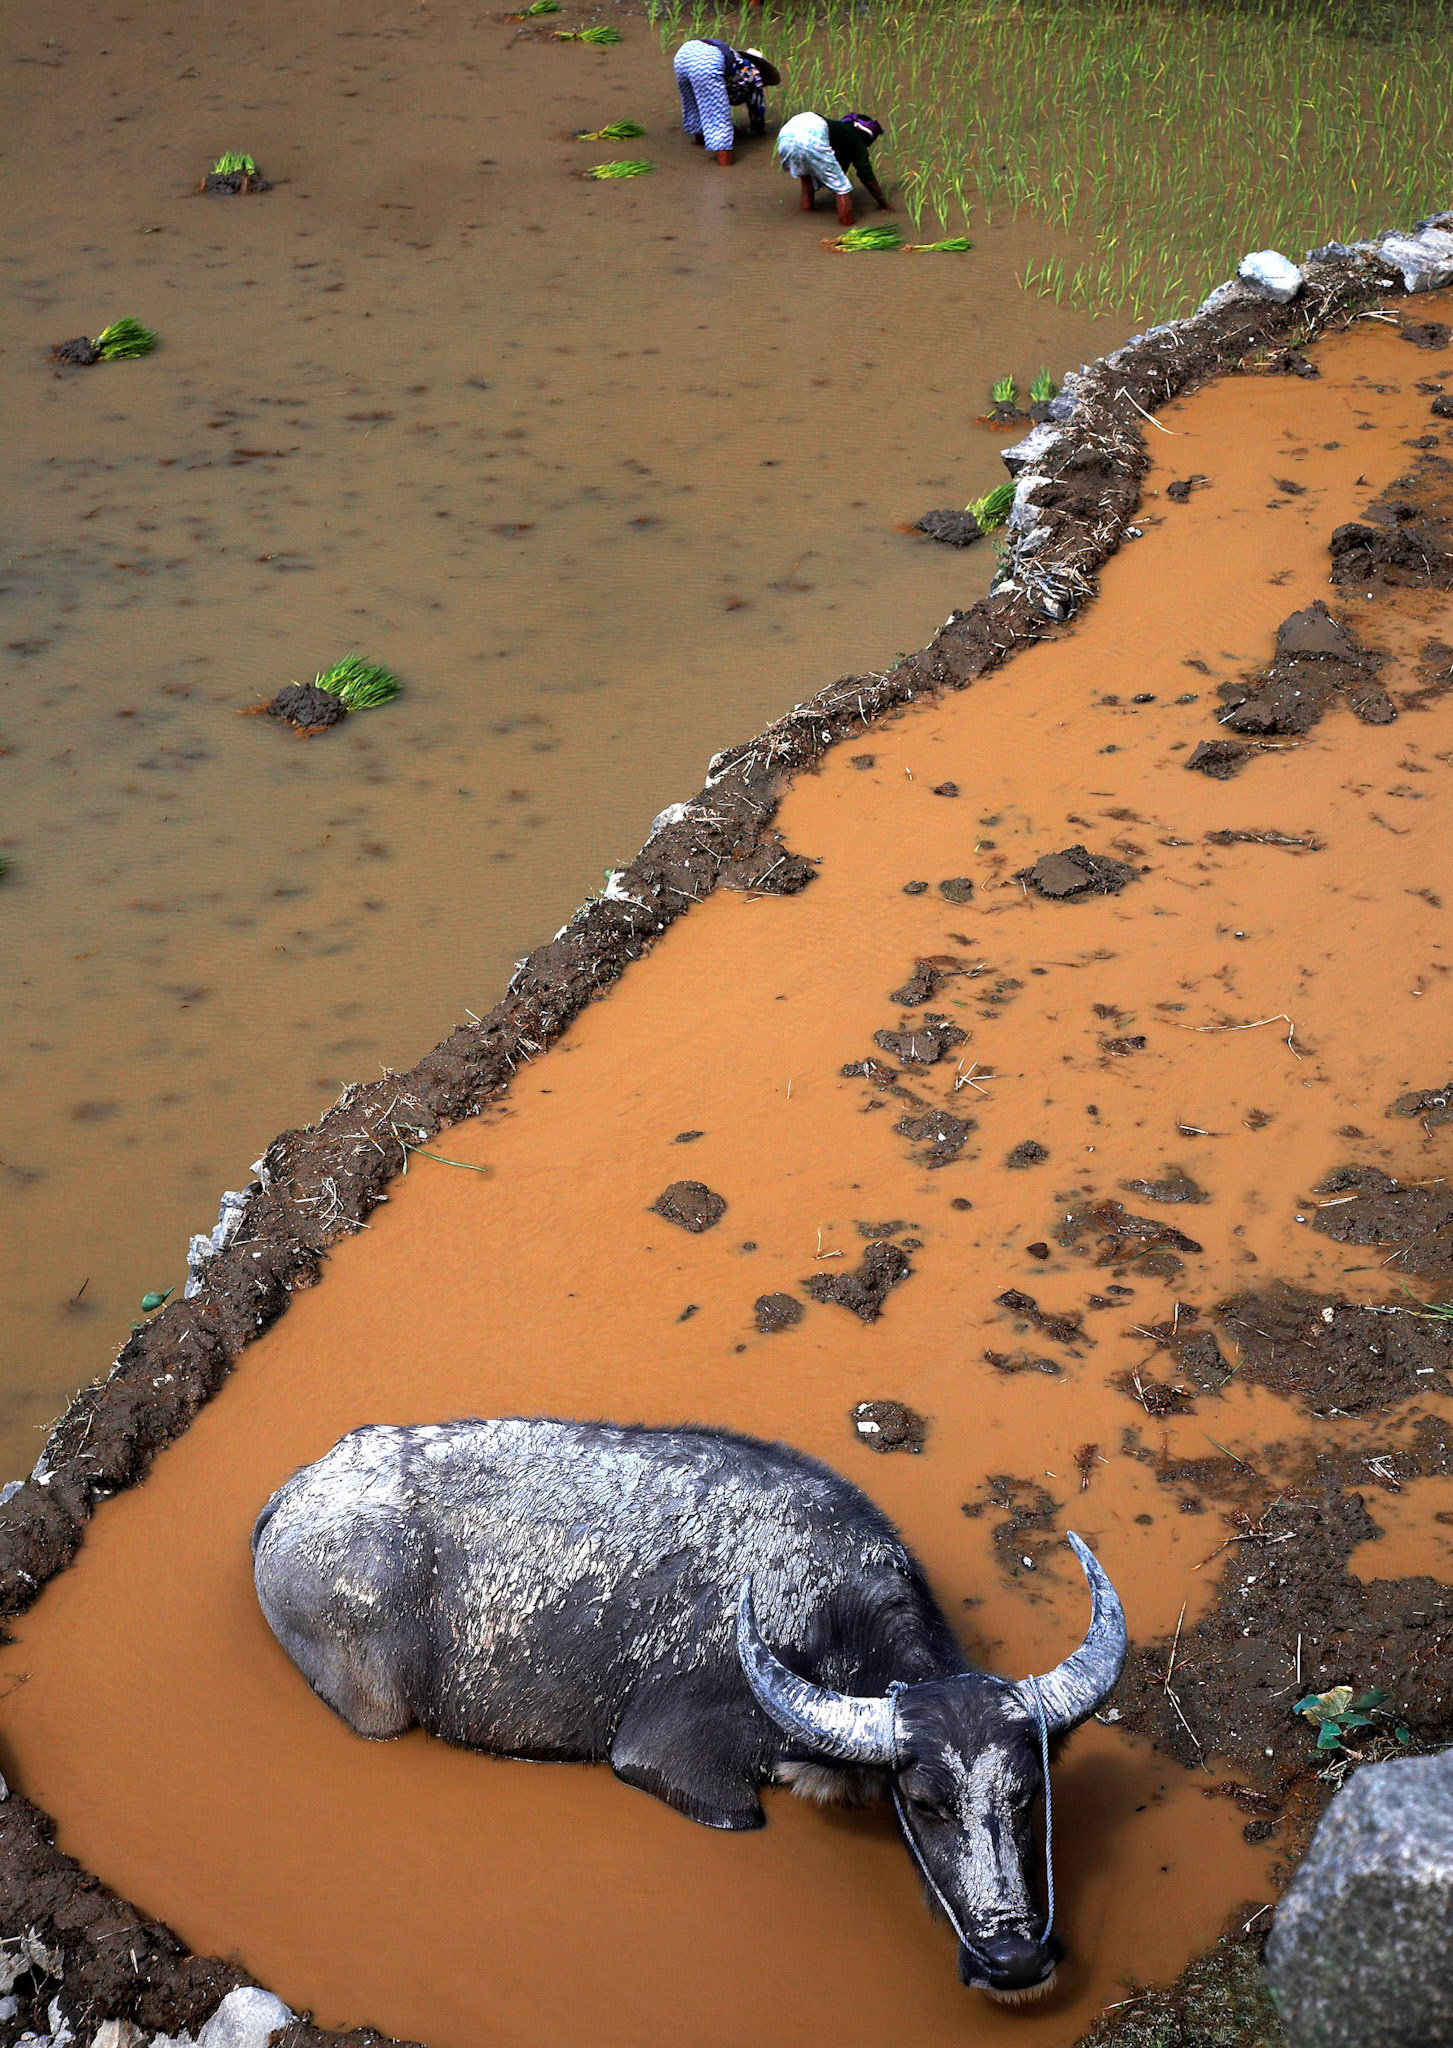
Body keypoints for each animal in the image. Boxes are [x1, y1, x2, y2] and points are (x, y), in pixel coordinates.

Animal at [253, 1417, 1126, 1999]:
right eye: (924, 1804)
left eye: (1029, 1794)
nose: (1014, 1960)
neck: (825, 1615)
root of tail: (293, 1494)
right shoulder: (675, 1763)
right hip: (377, 1704)